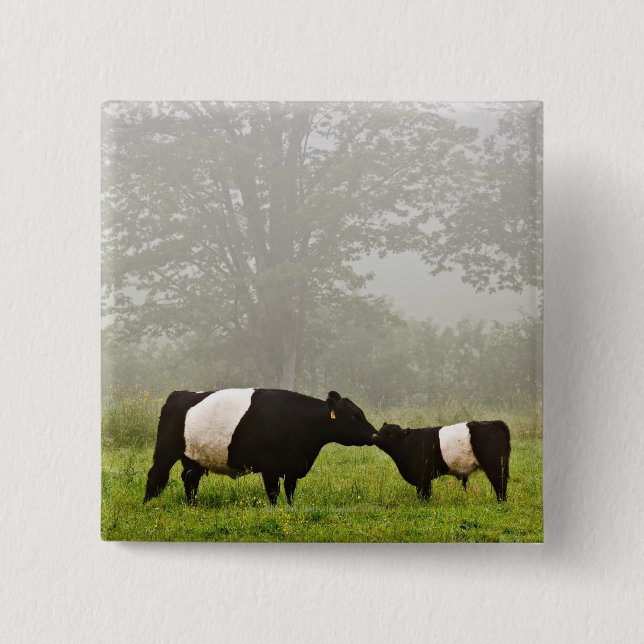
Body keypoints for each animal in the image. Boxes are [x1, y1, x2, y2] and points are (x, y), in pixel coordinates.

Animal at [143, 388, 378, 506]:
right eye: (354, 417)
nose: (374, 434)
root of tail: (180, 393)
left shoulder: (293, 466)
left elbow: (290, 491)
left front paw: (291, 508)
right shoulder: (270, 467)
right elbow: (273, 492)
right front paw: (275, 510)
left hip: (193, 457)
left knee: (190, 479)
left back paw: (193, 506)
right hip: (166, 449)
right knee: (156, 475)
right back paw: (147, 505)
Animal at [374, 421, 511, 502]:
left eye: (391, 434)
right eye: (380, 430)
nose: (375, 436)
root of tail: (495, 422)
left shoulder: (423, 478)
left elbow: (424, 495)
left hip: (494, 466)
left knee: (500, 484)